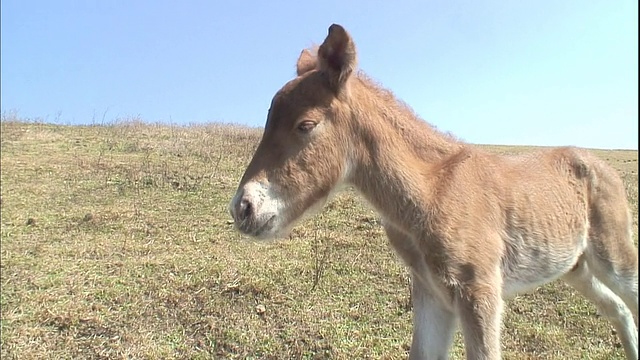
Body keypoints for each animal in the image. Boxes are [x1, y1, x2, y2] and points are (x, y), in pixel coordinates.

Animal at [228, 23, 636, 358]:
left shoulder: (479, 292)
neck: (431, 192)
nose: (243, 208)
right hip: (576, 267)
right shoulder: (431, 294)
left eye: (306, 125)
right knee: (619, 311)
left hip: (614, 256)